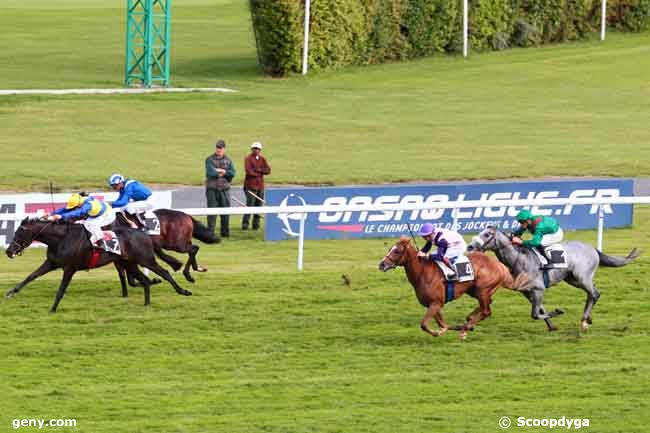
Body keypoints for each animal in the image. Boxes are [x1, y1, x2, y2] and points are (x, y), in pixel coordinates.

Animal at [5, 218, 192, 312]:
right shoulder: (52, 263)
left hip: (145, 259)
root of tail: (145, 234)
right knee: (145, 280)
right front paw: (10, 292)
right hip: (129, 263)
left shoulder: (70, 268)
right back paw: (146, 304)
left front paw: (53, 308)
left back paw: (183, 291)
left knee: (165, 272)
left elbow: (61, 290)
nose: (8, 251)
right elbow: (31, 276)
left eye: (20, 231)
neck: (61, 239)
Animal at [374, 235, 528, 340]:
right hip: (475, 291)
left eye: (397, 251)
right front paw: (445, 329)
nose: (382, 264)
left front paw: (438, 332)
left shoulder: (436, 302)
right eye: (390, 249)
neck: (423, 273)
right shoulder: (433, 304)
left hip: (482, 290)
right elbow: (442, 324)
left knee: (486, 311)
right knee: (487, 305)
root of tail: (500, 265)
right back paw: (469, 321)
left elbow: (424, 324)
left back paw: (465, 328)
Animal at [468, 226, 640, 330]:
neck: (519, 259)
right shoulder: (527, 291)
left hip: (582, 277)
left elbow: (535, 313)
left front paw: (558, 312)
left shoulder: (539, 288)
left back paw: (584, 319)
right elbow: (539, 310)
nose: (470, 246)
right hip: (572, 279)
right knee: (592, 294)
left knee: (594, 294)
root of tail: (593, 249)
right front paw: (552, 326)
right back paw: (588, 319)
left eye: (487, 234)